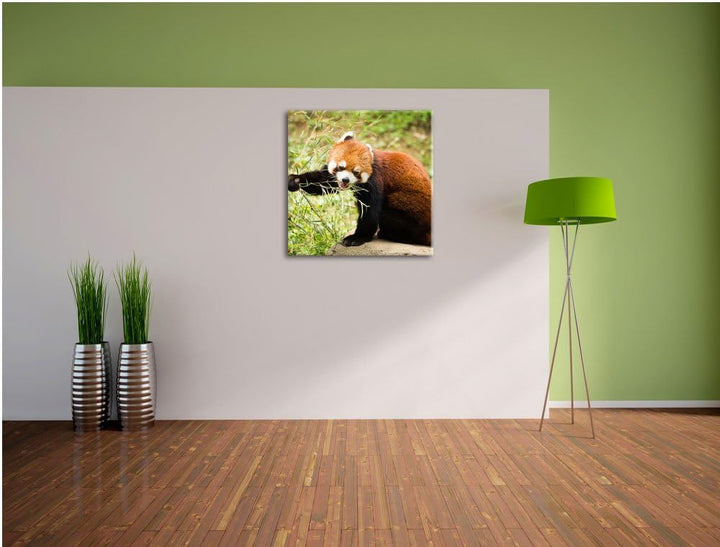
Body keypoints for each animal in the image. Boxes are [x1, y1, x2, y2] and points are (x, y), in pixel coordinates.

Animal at [288, 132, 432, 247]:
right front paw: (295, 180)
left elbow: (370, 212)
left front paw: (357, 238)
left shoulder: (375, 181)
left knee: (387, 217)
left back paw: (391, 235)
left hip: (411, 217)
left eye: (356, 172)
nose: (345, 180)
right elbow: (324, 181)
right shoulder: (333, 178)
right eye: (341, 167)